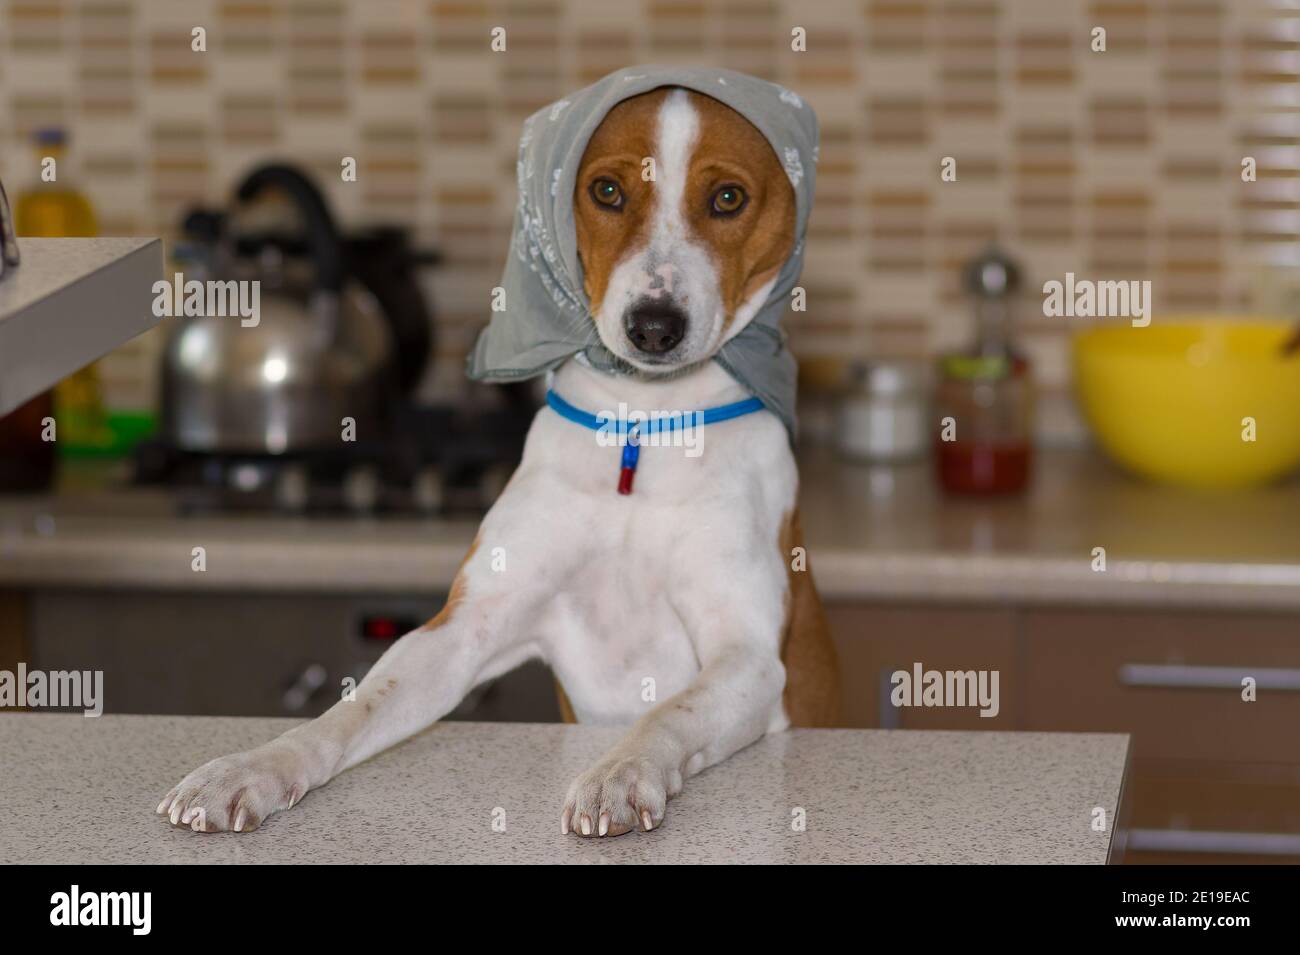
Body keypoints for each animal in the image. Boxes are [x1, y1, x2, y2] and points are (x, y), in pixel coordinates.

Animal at [154, 85, 842, 841]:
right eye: (606, 190)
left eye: (727, 198)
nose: (654, 326)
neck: (641, 429)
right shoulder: (464, 626)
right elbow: (350, 708)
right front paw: (249, 769)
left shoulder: (746, 655)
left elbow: (666, 712)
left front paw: (618, 772)